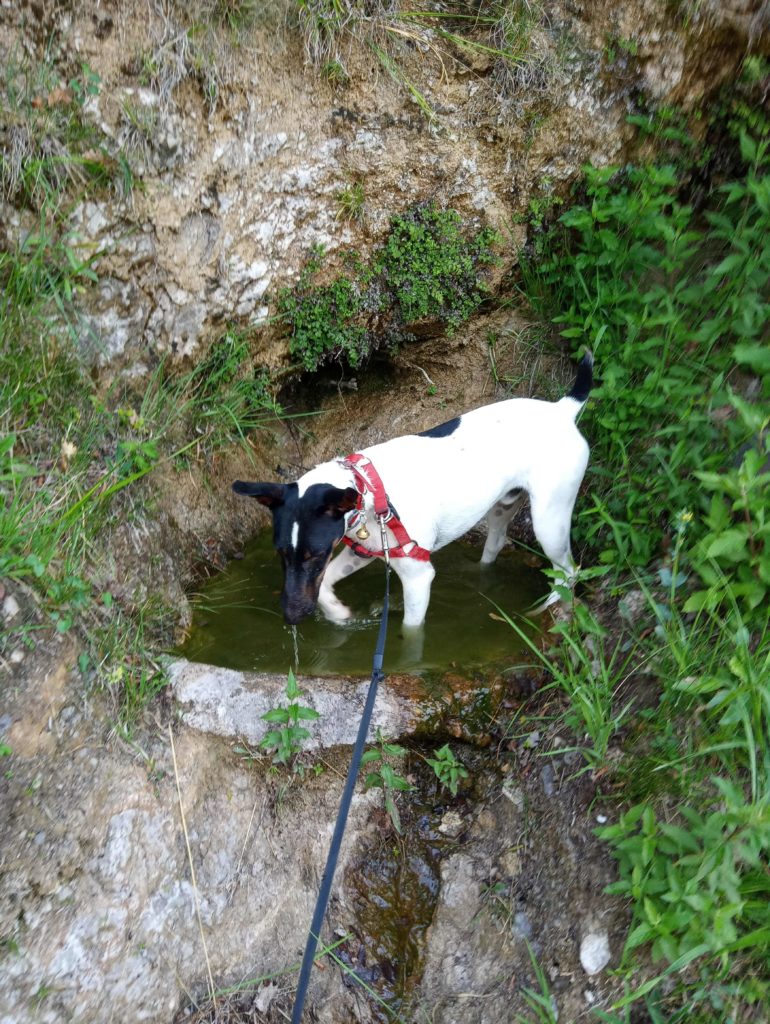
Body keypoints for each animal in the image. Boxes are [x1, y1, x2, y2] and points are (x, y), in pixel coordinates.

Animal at [231, 352, 593, 626]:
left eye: (314, 555)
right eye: (280, 553)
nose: (291, 617)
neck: (371, 491)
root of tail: (562, 409)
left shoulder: (418, 578)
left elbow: (410, 632)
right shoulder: (361, 551)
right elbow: (322, 587)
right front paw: (337, 613)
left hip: (550, 520)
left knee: (569, 572)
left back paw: (548, 612)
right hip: (503, 506)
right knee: (497, 541)